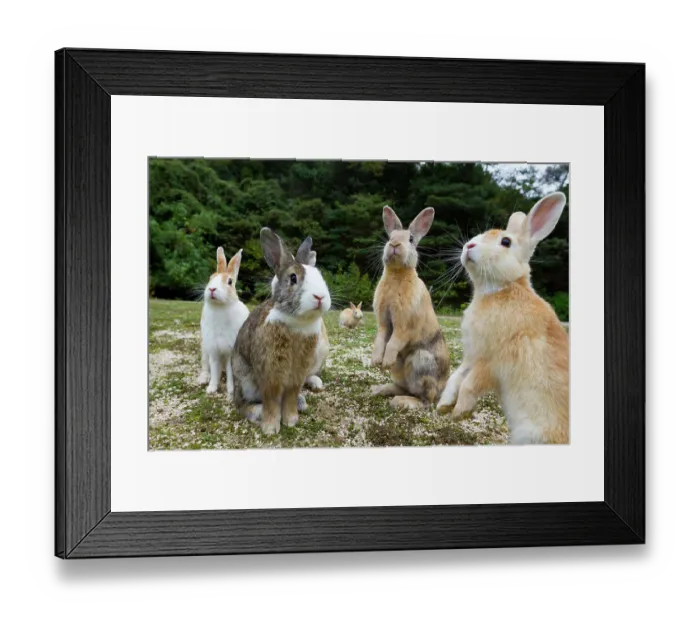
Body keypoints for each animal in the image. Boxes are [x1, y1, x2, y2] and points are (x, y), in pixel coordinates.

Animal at [197, 247, 250, 399]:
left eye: (230, 282)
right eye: (210, 278)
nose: (212, 289)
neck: (219, 308)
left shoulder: (230, 353)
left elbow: (231, 374)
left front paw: (231, 390)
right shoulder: (213, 351)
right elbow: (215, 371)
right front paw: (211, 389)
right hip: (204, 350)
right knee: (206, 367)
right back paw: (203, 379)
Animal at [370, 206, 450, 409]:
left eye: (411, 239)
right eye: (390, 236)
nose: (394, 244)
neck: (397, 273)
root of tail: (441, 389)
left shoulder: (404, 326)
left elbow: (393, 342)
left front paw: (385, 361)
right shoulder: (384, 322)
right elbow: (380, 339)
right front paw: (376, 361)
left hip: (420, 363)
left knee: (425, 400)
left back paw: (402, 402)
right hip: (400, 372)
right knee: (403, 387)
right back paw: (379, 389)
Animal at [436, 192, 570, 445]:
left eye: (506, 242)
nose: (469, 245)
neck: (500, 289)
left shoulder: (492, 361)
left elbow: (469, 384)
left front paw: (460, 413)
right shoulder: (473, 356)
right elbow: (456, 377)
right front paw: (443, 406)